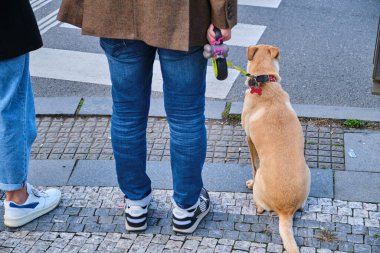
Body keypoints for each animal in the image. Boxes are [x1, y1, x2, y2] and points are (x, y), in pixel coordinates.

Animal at [242, 44, 310, 252]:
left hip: (261, 191)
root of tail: (286, 211)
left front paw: (250, 181)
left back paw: (257, 203)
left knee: (261, 204)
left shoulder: (249, 139)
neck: (264, 81)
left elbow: (254, 165)